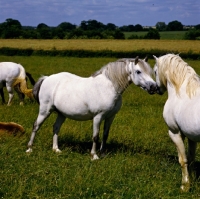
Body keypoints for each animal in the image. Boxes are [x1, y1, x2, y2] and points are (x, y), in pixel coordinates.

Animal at [26, 57, 157, 160]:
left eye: (150, 72)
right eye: (138, 71)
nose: (153, 87)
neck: (109, 87)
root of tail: (46, 78)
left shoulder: (110, 117)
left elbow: (105, 135)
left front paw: (102, 153)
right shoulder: (98, 116)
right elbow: (95, 136)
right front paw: (94, 156)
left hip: (62, 114)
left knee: (56, 128)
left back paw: (56, 149)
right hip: (45, 110)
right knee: (36, 126)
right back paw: (29, 149)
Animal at [154, 53, 200, 192]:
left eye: (155, 71)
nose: (156, 89)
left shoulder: (175, 133)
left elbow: (183, 160)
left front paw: (185, 185)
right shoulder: (191, 136)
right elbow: (191, 158)